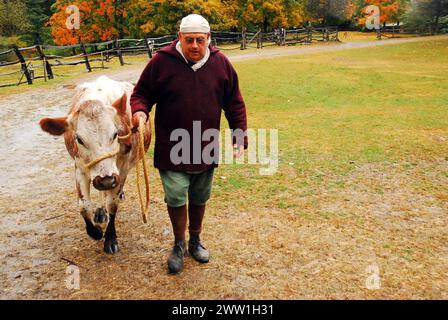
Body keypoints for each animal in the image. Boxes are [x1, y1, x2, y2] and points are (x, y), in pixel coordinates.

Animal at [39, 76, 150, 254]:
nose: (106, 181)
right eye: (79, 139)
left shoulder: (122, 169)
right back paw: (99, 211)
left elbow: (112, 203)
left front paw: (110, 238)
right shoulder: (80, 168)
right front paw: (95, 231)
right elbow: (84, 205)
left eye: (115, 134)